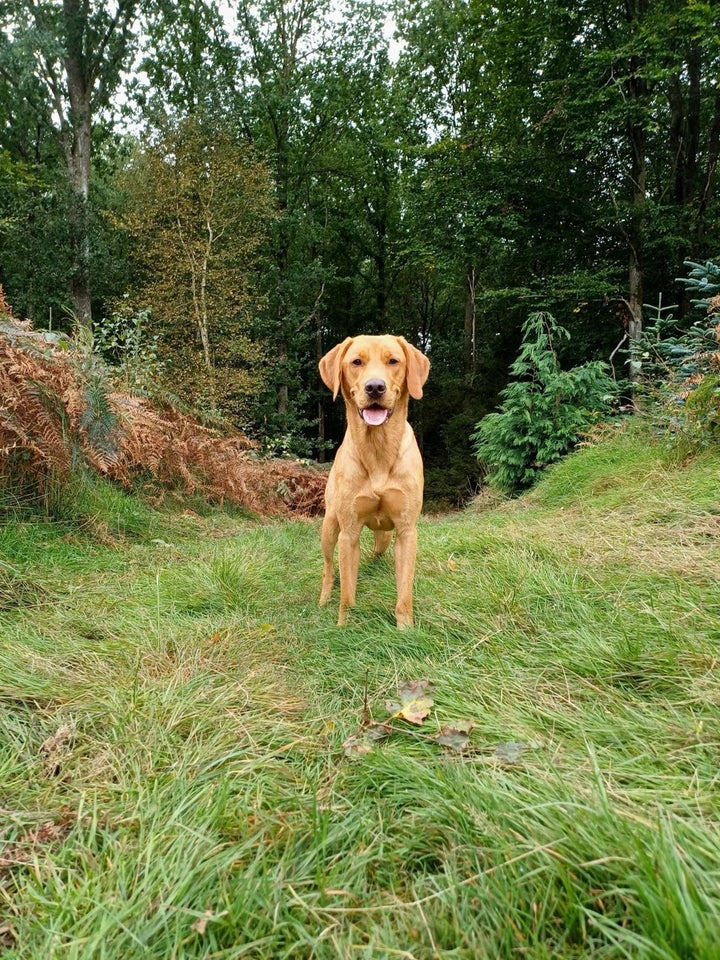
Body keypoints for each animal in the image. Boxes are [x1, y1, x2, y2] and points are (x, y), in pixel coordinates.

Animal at [318, 338, 430, 632]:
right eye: (356, 362)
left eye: (393, 361)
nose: (375, 387)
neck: (377, 448)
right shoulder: (348, 533)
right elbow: (347, 592)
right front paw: (344, 626)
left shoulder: (406, 532)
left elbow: (404, 590)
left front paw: (405, 628)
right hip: (329, 525)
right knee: (328, 567)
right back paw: (324, 597)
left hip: (385, 536)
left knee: (377, 550)